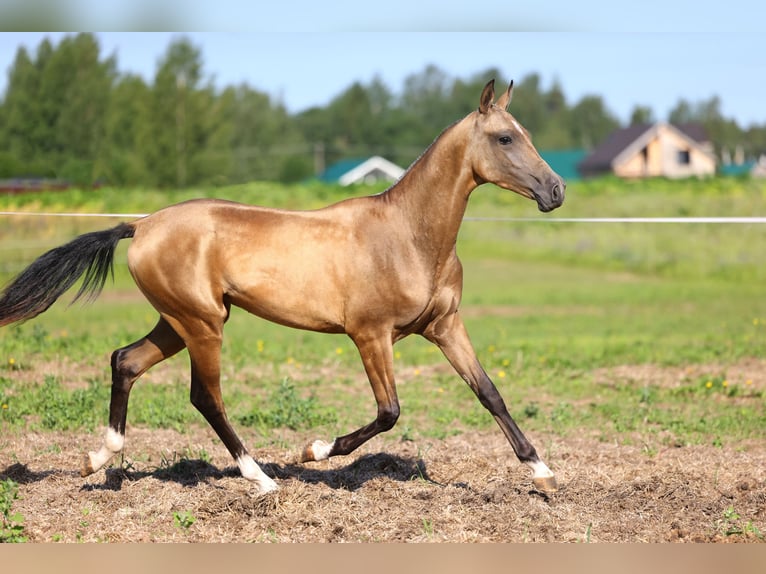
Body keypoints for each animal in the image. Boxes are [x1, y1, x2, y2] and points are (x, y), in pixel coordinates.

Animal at [0, 80, 564, 496]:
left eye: (526, 132)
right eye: (505, 138)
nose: (555, 190)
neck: (407, 236)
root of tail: (140, 225)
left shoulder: (445, 326)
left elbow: (490, 393)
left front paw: (542, 473)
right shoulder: (370, 334)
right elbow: (389, 412)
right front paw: (313, 451)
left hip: (180, 321)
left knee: (126, 361)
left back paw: (98, 459)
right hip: (202, 324)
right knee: (205, 396)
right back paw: (262, 478)